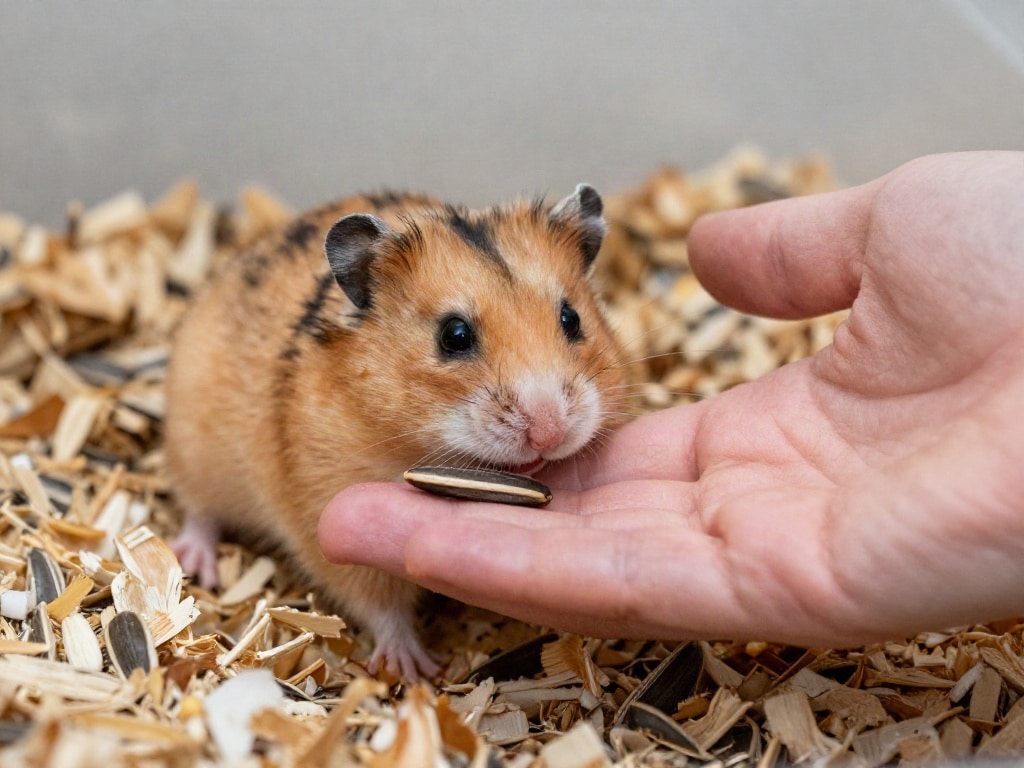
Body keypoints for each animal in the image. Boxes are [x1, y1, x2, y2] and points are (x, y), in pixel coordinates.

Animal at [165, 185, 628, 679]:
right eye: (454, 335)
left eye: (572, 319)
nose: (550, 433)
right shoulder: (323, 517)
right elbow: (380, 604)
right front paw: (416, 669)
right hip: (194, 449)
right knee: (198, 511)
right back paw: (196, 564)